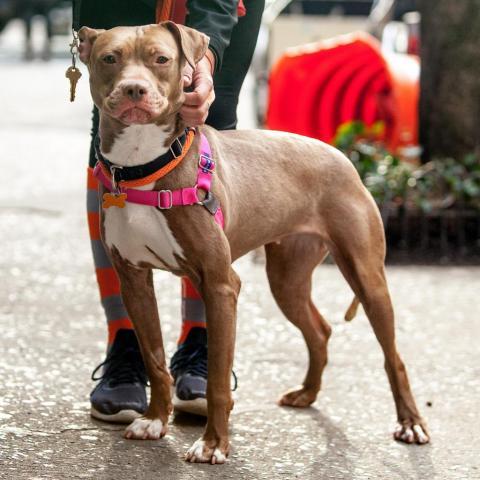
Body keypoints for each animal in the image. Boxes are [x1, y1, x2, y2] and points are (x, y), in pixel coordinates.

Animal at [78, 21, 428, 462]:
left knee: (392, 356)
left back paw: (410, 423)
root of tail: (343, 156)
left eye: (161, 59)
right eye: (110, 58)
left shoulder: (221, 284)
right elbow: (154, 358)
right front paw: (156, 420)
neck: (145, 168)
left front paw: (213, 445)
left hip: (367, 276)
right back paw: (307, 393)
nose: (134, 90)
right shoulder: (134, 281)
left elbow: (216, 378)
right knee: (319, 330)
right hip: (287, 278)